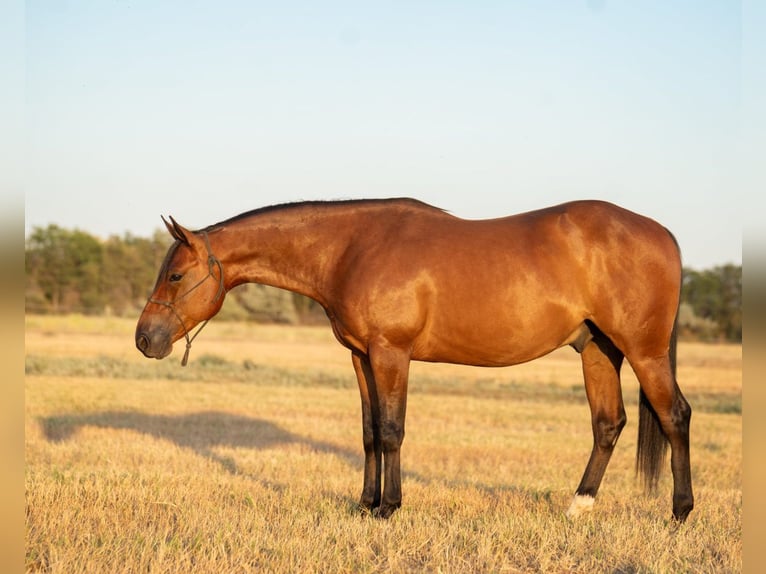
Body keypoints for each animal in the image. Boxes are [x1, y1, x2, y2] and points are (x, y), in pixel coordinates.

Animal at [135, 198, 693, 522]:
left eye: (176, 276)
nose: (145, 339)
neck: (352, 248)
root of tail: (664, 233)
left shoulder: (391, 353)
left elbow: (391, 430)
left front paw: (389, 508)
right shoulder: (361, 356)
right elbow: (368, 432)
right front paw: (365, 504)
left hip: (644, 353)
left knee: (674, 416)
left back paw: (680, 512)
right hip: (597, 348)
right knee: (608, 423)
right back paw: (579, 507)